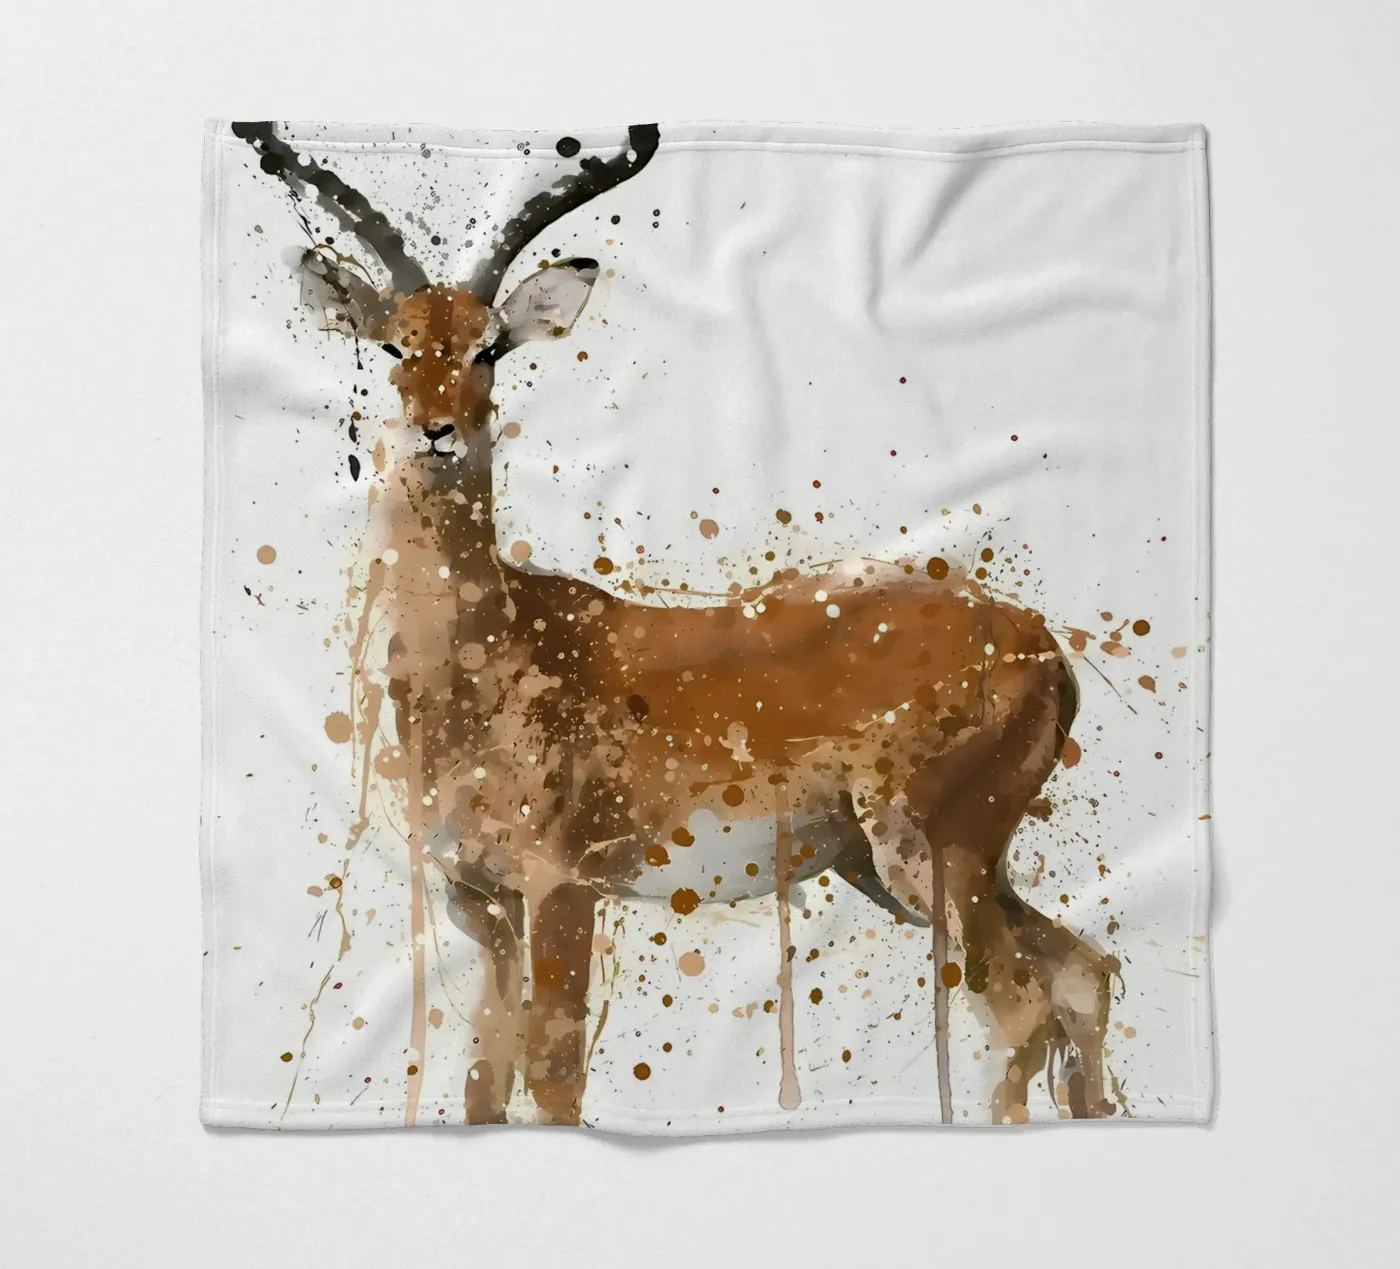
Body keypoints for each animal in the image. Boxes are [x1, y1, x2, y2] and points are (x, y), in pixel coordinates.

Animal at [233, 121, 1120, 1126]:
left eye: (491, 347)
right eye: (391, 345)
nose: (439, 431)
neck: (488, 654)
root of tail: (1043, 644)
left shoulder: (565, 883)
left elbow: (554, 1075)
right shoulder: (479, 899)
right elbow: (484, 1083)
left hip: (933, 857)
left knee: (1022, 1008)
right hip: (909, 868)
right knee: (1085, 972)